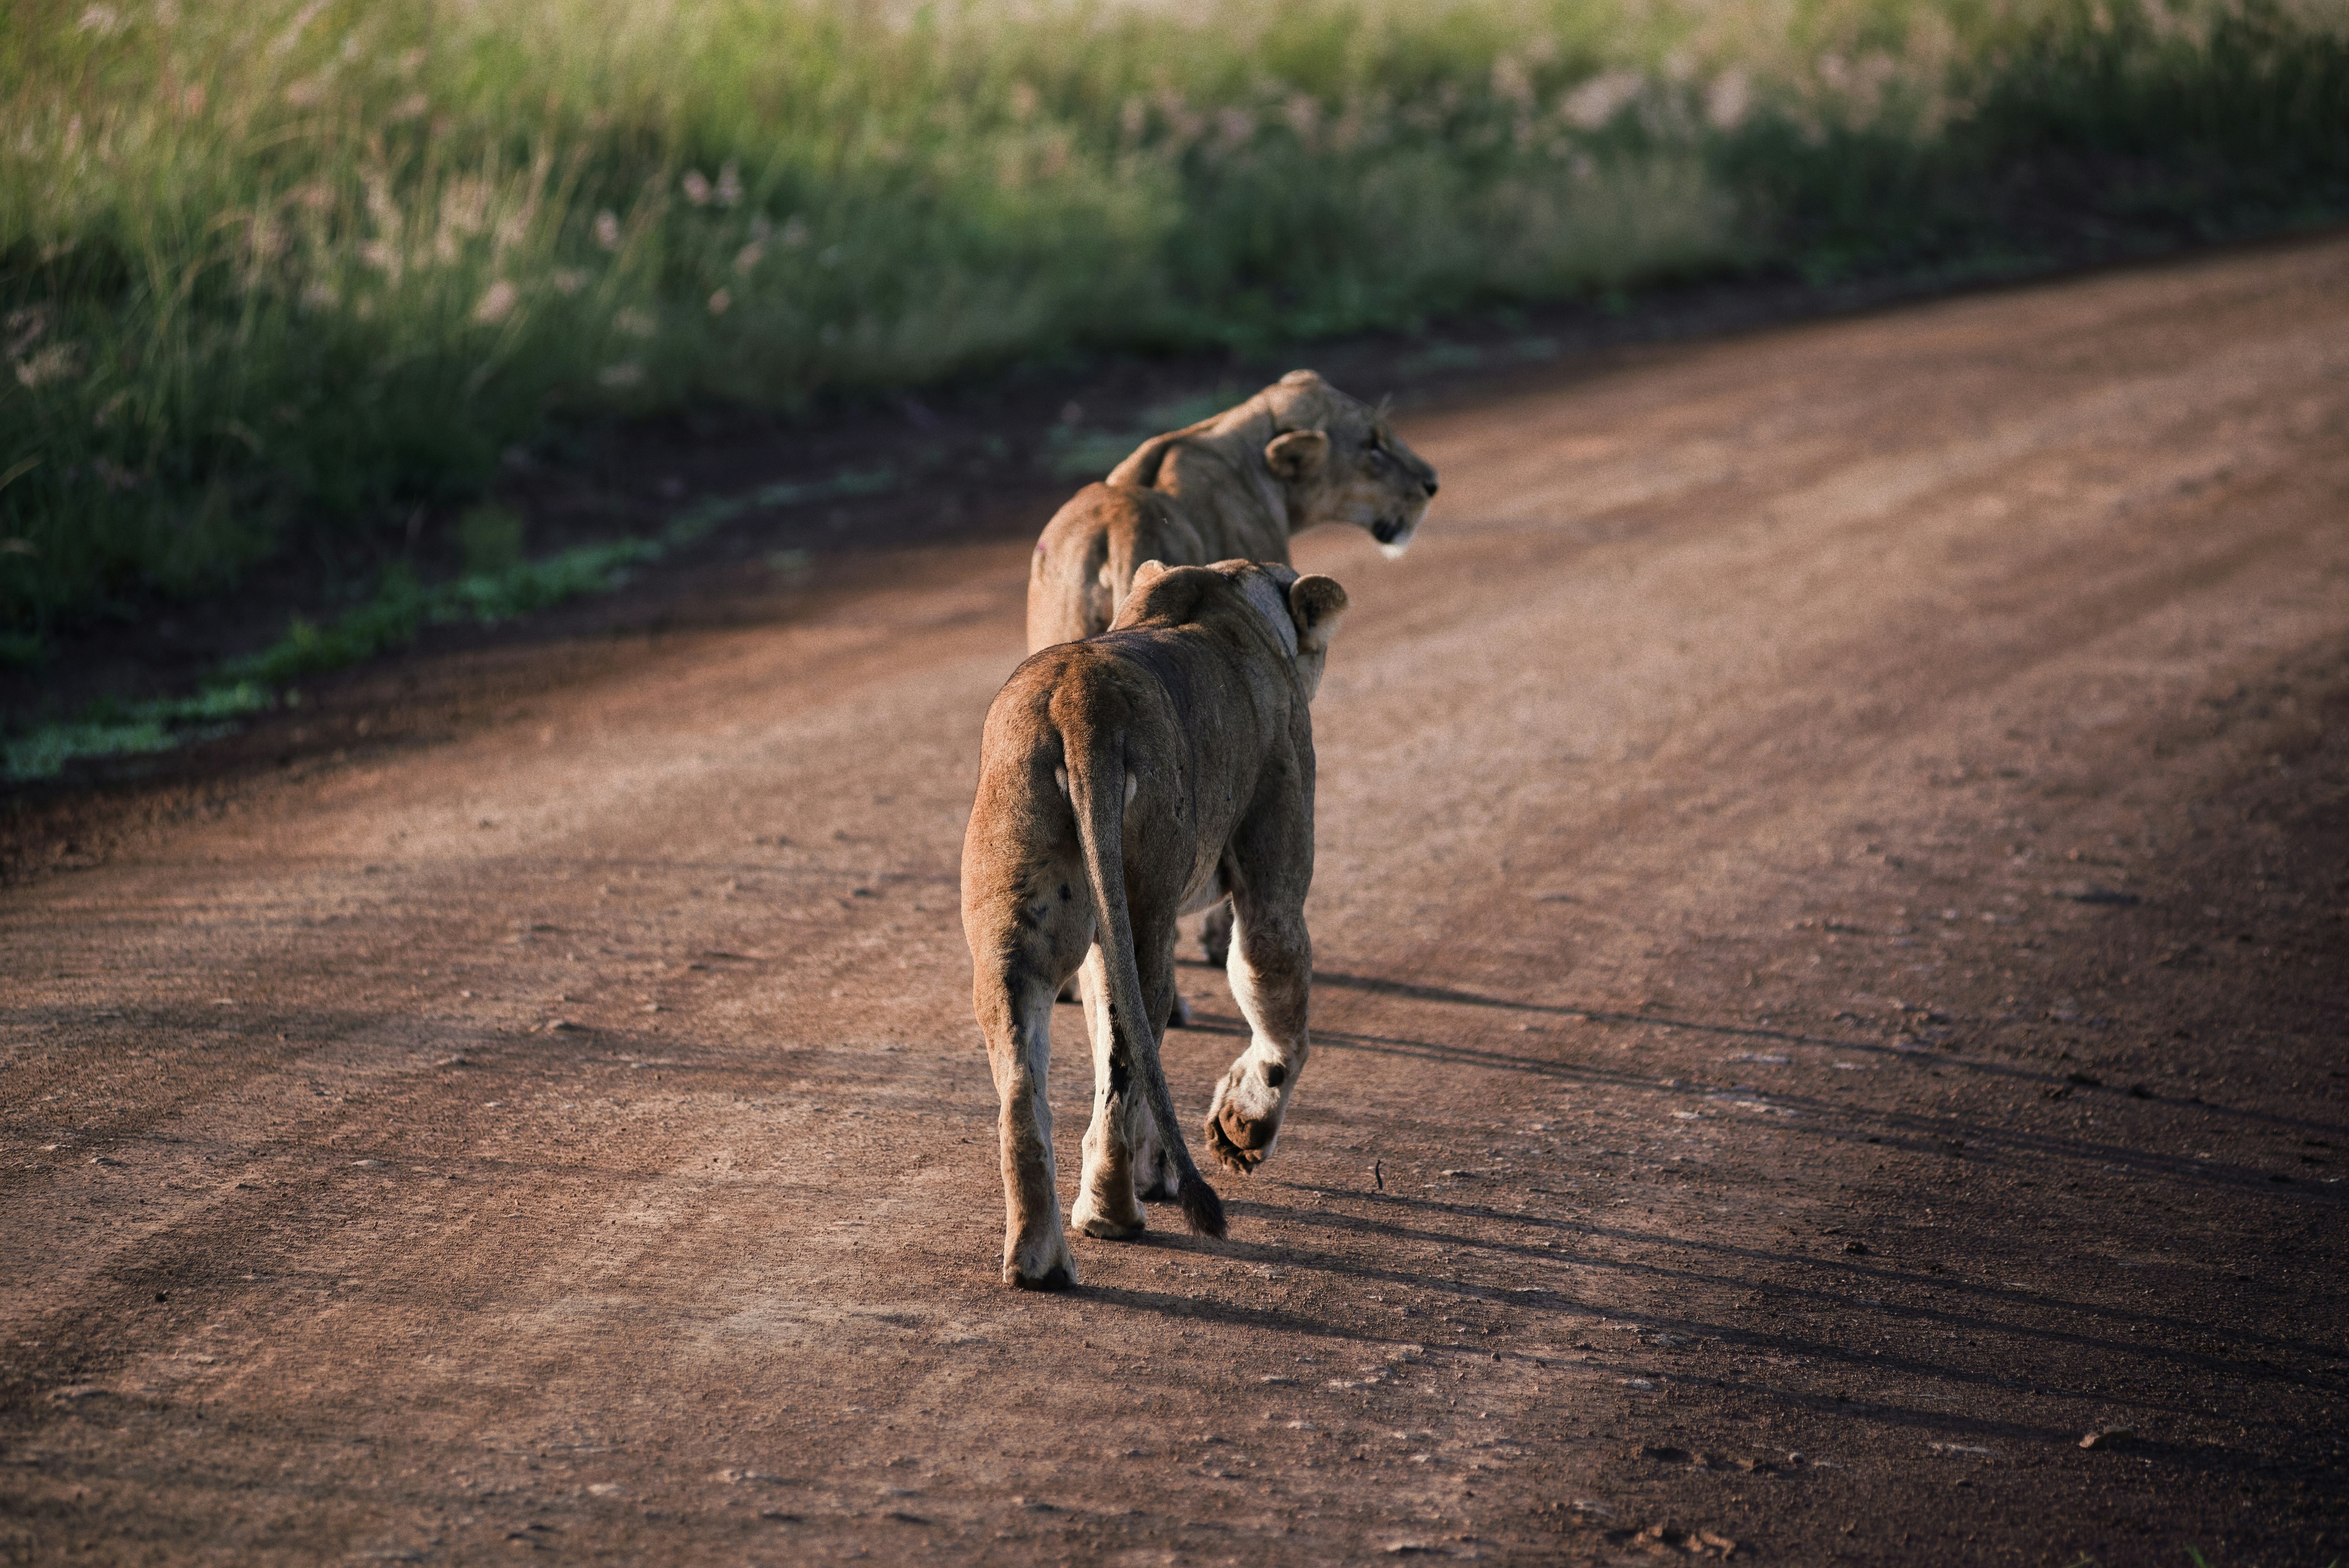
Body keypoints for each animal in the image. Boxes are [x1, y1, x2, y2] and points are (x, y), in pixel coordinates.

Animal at [961, 558, 1349, 1289]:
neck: (1229, 591)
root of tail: (1080, 703)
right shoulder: (1274, 873)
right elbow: (1277, 1004)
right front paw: (1242, 1129)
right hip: (1145, 912)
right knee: (1125, 1061)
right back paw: (1111, 1213)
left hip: (1018, 924)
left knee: (1026, 1087)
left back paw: (1040, 1260)